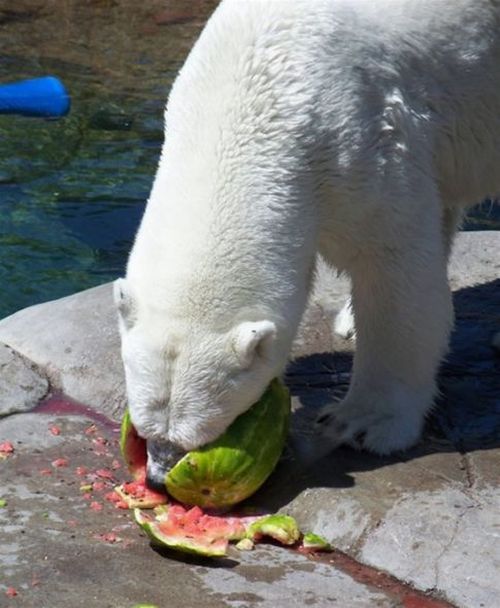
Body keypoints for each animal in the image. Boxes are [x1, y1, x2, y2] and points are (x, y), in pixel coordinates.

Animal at [115, 0, 500, 478]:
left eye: (193, 438)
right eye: (146, 430)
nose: (157, 475)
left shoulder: (364, 136)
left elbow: (394, 268)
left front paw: (363, 421)